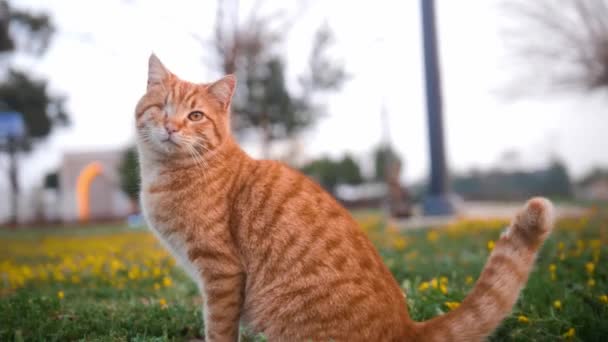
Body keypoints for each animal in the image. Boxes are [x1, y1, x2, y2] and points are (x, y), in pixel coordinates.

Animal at [138, 54, 556, 340]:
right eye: (161, 108)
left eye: (195, 116)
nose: (171, 126)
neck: (167, 173)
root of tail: (407, 327)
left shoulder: (221, 273)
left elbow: (219, 328)